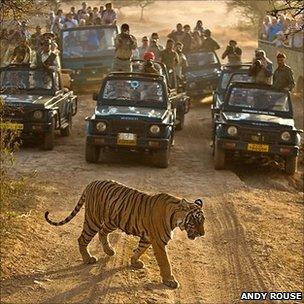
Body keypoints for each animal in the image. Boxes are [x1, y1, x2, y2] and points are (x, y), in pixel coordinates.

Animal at [44, 179, 205, 288]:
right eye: (196, 221)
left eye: (203, 221)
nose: (202, 234)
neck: (175, 217)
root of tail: (91, 183)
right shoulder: (159, 241)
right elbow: (165, 263)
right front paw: (170, 281)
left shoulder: (147, 238)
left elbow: (140, 249)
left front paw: (134, 262)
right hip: (93, 220)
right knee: (82, 239)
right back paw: (88, 258)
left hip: (112, 221)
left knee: (102, 232)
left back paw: (109, 251)